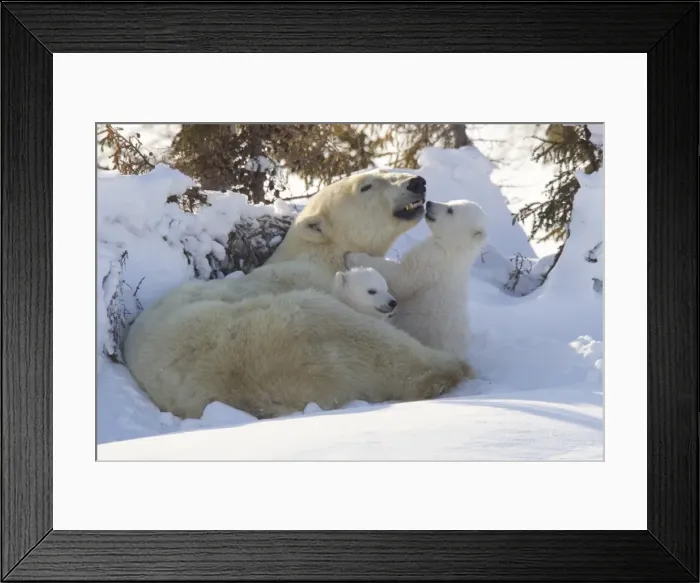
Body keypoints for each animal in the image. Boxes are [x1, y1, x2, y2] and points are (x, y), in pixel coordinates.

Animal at [345, 199, 488, 363]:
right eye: (450, 201)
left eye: (450, 210)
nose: (430, 203)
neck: (454, 251)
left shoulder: (432, 262)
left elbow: (402, 277)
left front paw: (353, 256)